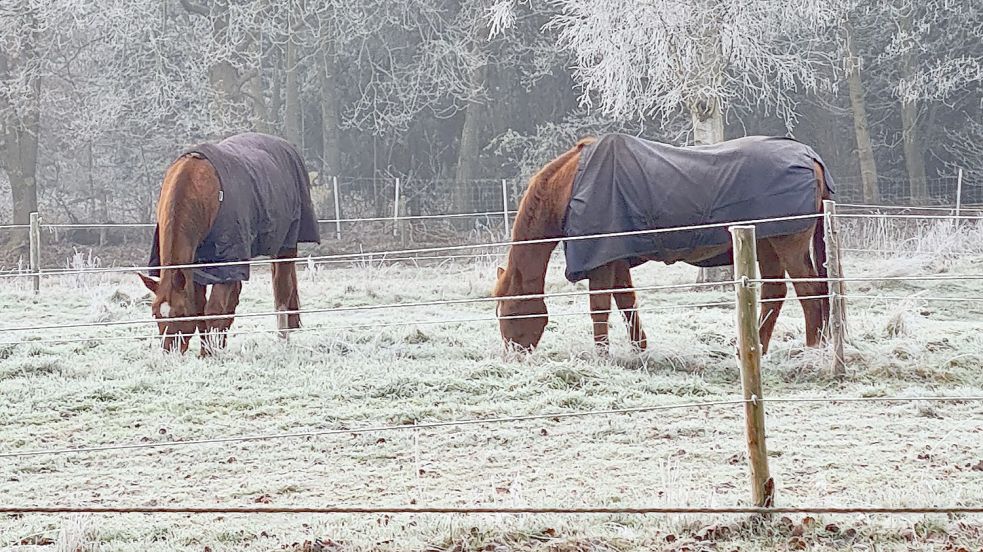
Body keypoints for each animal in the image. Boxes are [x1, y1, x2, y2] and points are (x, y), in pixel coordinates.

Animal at [138, 136, 320, 356]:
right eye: (155, 314)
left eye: (180, 313)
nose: (169, 352)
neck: (199, 188)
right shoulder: (197, 269)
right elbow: (202, 309)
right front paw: (207, 351)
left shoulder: (227, 262)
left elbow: (213, 310)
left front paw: (210, 354)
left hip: (285, 246)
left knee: (282, 290)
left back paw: (282, 341)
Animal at [496, 136, 836, 356]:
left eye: (509, 312)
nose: (514, 356)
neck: (570, 187)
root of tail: (810, 158)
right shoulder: (618, 259)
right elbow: (627, 302)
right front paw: (639, 350)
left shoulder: (601, 261)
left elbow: (599, 307)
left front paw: (602, 356)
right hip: (764, 244)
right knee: (775, 293)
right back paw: (755, 349)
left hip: (786, 244)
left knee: (808, 291)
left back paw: (812, 349)